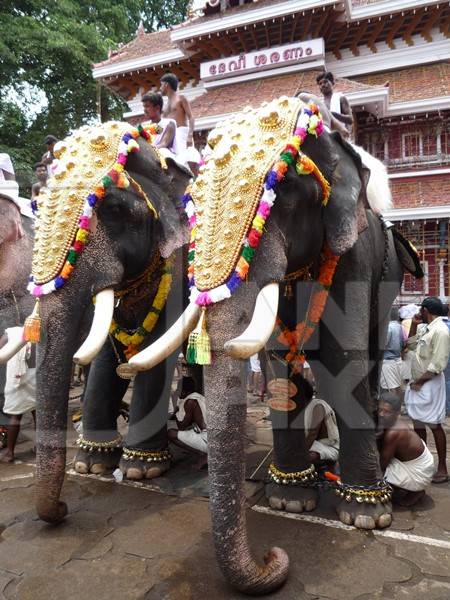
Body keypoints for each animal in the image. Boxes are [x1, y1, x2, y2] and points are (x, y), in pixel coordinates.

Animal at [0, 124, 191, 524]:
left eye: (115, 210)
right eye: (40, 210)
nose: (61, 508)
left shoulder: (177, 264)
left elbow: (155, 349)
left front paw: (141, 469)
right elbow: (103, 352)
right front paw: (92, 464)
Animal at [125, 96, 422, 592]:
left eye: (281, 196)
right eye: (192, 206)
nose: (273, 556)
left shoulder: (355, 253)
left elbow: (343, 357)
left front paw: (366, 516)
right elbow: (280, 358)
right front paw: (290, 499)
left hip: (390, 276)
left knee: (372, 352)